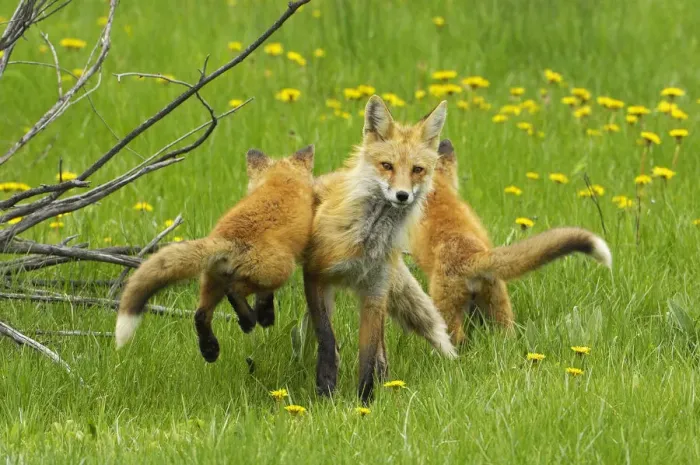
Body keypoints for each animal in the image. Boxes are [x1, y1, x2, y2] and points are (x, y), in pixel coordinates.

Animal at [115, 146, 316, 362]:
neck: (280, 181)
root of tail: (226, 238)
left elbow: (264, 299)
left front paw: (266, 316)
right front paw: (264, 316)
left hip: (213, 281)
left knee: (200, 314)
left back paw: (210, 348)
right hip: (277, 272)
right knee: (233, 291)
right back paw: (247, 320)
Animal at [303, 95, 457, 404]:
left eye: (417, 170)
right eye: (387, 165)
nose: (402, 195)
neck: (367, 243)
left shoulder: (375, 292)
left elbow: (368, 356)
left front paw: (364, 403)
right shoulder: (314, 275)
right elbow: (326, 339)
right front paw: (326, 389)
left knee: (382, 351)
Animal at [409, 139, 613, 345]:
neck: (438, 192)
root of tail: (473, 254)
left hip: (448, 309)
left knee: (457, 340)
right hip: (498, 305)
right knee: (506, 337)